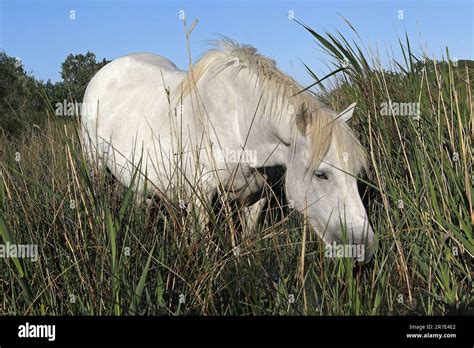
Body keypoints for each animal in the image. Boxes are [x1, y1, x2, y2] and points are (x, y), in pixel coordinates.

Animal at [80, 38, 374, 260]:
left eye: (357, 173)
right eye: (321, 174)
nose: (363, 247)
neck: (238, 126)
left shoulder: (256, 199)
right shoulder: (199, 200)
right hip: (96, 167)